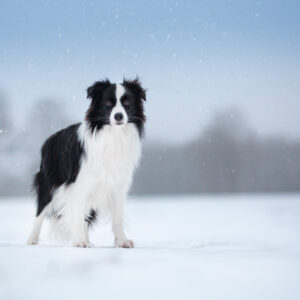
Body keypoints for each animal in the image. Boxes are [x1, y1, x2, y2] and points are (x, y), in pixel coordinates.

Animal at [27, 78, 146, 248]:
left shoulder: (117, 185)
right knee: (40, 212)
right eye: (108, 103)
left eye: (127, 103)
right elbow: (76, 215)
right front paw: (79, 241)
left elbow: (117, 217)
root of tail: (49, 140)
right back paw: (31, 240)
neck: (113, 135)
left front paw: (122, 241)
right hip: (49, 184)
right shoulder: (78, 184)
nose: (118, 116)